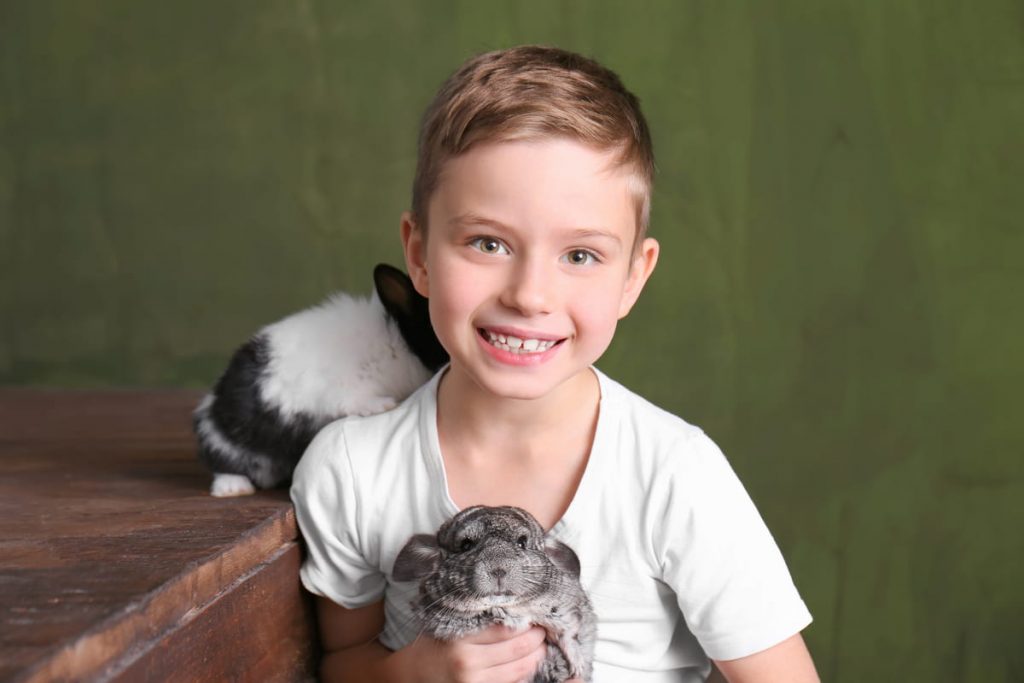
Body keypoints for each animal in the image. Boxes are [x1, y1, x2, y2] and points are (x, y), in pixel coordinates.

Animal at [192, 264, 448, 497]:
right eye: (430, 329)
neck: (396, 342)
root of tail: (212, 404)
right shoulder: (339, 388)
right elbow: (351, 400)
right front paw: (383, 405)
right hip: (226, 442)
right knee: (224, 465)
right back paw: (233, 488)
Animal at [393, 505, 598, 679]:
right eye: (466, 545)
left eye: (522, 543)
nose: (498, 570)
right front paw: (498, 612)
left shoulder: (561, 612)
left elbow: (567, 635)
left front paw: (578, 667)